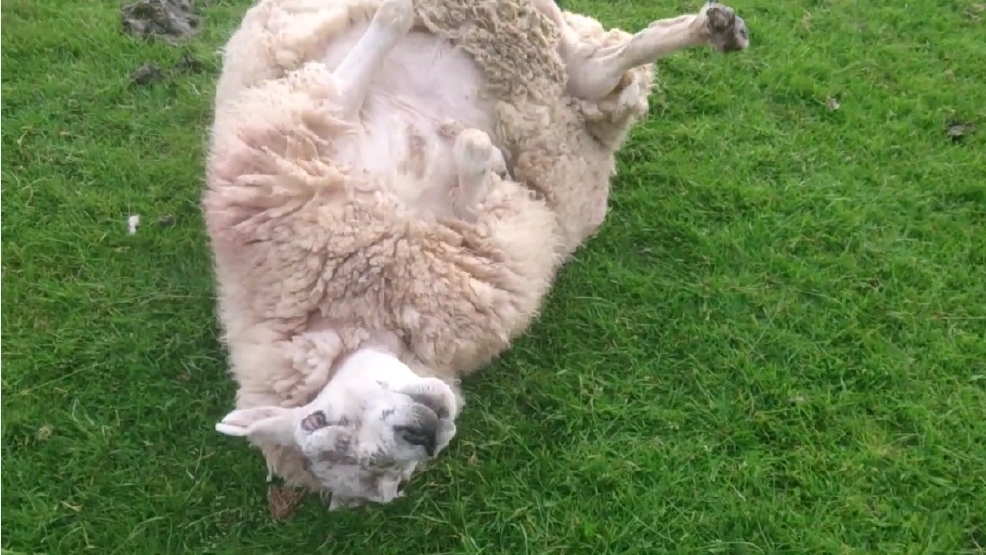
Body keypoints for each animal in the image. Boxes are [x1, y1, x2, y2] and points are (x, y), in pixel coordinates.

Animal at [205, 0, 749, 510]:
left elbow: (359, 70)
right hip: (546, 80)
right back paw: (709, 31)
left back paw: (719, 29)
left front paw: (396, 17)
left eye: (316, 419)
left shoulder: (303, 129)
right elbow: (477, 174)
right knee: (602, 68)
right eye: (391, 480)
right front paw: (483, 155)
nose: (422, 436)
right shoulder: (499, 234)